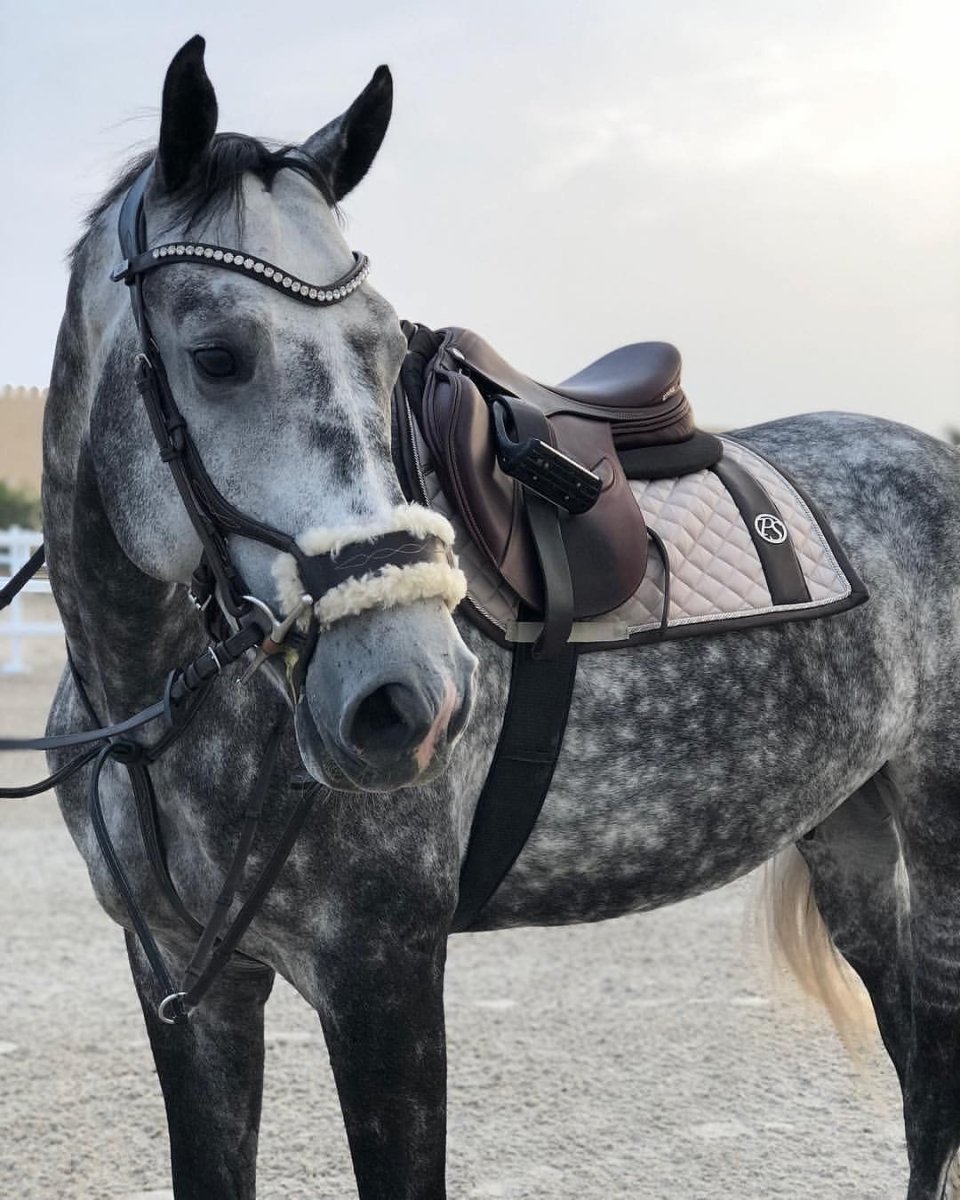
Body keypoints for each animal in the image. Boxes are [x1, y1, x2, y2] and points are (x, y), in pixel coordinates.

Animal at [30, 33, 960, 1199]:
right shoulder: (191, 991)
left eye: (388, 351)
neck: (159, 715)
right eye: (215, 356)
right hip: (849, 830)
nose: (407, 698)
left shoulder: (379, 977)